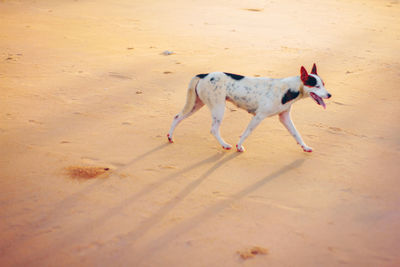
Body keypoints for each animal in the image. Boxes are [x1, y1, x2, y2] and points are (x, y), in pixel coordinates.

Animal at [166, 63, 332, 153]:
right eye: (316, 86)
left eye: (323, 84)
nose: (329, 95)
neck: (289, 89)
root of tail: (204, 75)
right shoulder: (259, 116)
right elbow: (246, 132)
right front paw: (239, 146)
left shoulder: (285, 118)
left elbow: (297, 134)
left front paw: (305, 147)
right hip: (218, 108)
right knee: (213, 129)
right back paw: (225, 145)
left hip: (196, 104)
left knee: (177, 117)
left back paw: (170, 137)